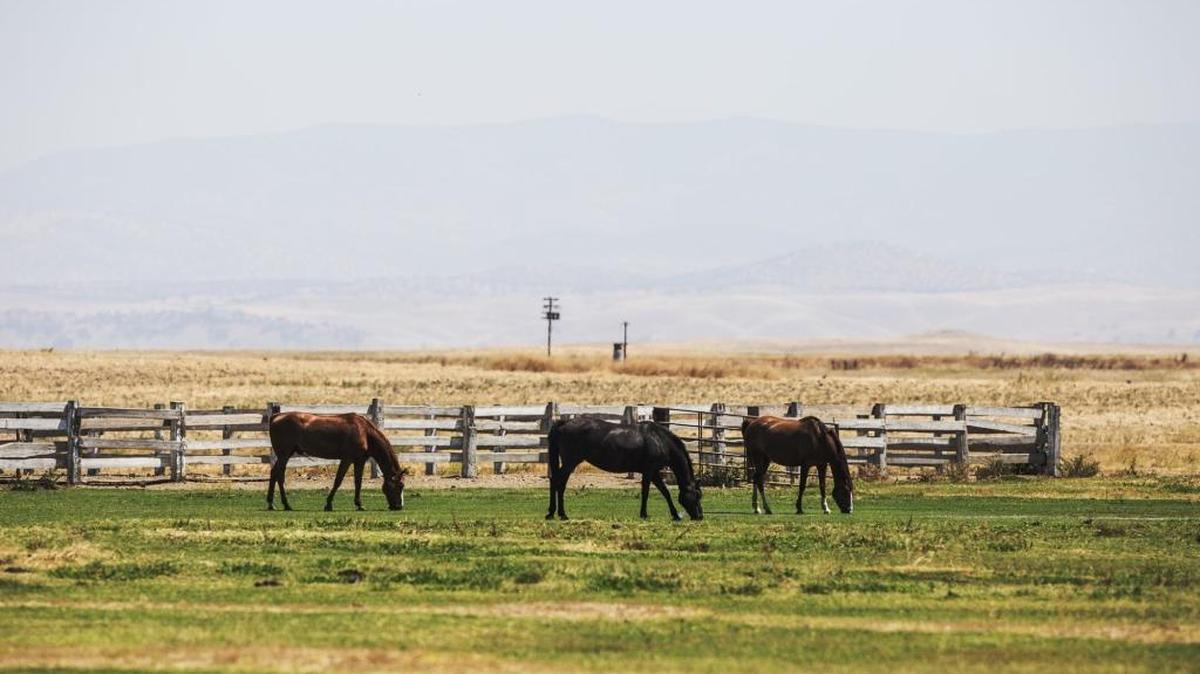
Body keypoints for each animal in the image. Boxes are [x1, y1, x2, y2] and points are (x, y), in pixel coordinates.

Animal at [267, 412, 407, 511]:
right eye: (400, 486)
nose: (399, 506)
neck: (365, 432)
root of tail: (276, 417)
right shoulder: (346, 459)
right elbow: (338, 481)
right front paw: (328, 504)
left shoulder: (359, 461)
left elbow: (358, 482)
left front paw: (359, 504)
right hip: (284, 455)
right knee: (279, 476)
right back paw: (286, 505)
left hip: (284, 456)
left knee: (274, 473)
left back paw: (271, 504)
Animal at [546, 416, 703, 521]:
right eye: (697, 495)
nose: (700, 516)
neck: (659, 440)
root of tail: (563, 423)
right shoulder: (649, 471)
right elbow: (646, 492)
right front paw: (644, 515)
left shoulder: (654, 473)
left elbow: (665, 492)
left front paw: (675, 515)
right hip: (570, 462)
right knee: (557, 481)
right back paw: (557, 514)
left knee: (558, 482)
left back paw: (557, 514)